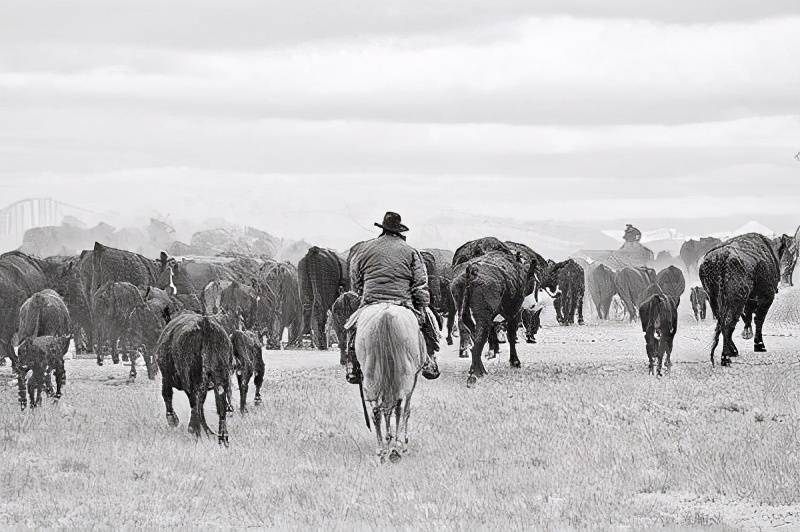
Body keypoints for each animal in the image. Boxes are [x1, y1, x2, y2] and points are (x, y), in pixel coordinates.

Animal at [352, 304, 434, 462]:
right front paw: (401, 442)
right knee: (398, 407)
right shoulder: (413, 378)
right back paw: (395, 447)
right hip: (405, 377)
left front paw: (388, 440)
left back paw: (382, 449)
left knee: (377, 410)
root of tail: (386, 316)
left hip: (371, 374)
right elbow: (405, 410)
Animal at [696, 235, 792, 368]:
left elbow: (748, 317)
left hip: (714, 300)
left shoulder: (748, 301)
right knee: (728, 323)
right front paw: (759, 345)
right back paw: (726, 357)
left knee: (722, 323)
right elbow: (759, 320)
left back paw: (732, 351)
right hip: (735, 300)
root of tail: (721, 257)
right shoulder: (766, 297)